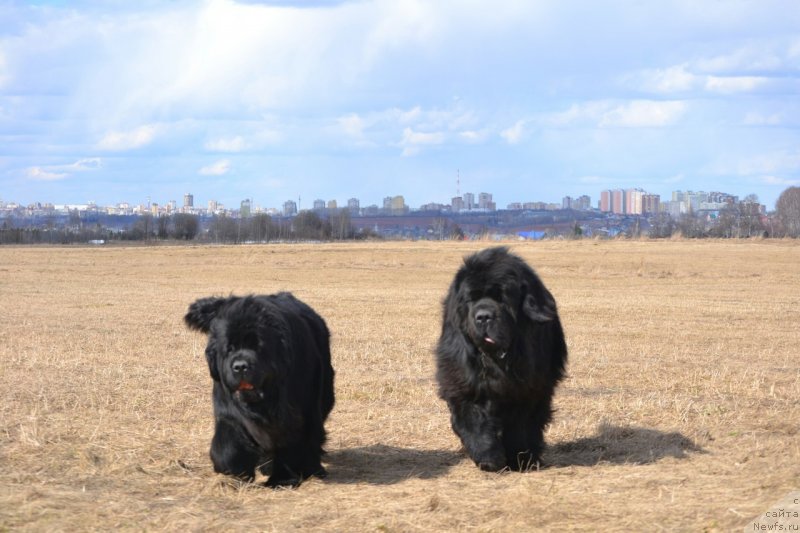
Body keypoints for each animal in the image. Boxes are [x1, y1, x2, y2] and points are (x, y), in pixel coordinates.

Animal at [184, 290, 334, 486]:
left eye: (258, 347)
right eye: (229, 349)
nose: (240, 366)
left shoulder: (299, 413)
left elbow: (293, 444)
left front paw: (283, 478)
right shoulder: (229, 411)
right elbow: (227, 444)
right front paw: (233, 471)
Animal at [438, 245, 568, 470]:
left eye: (502, 298)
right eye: (471, 299)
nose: (483, 316)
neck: (497, 359)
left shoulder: (529, 389)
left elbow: (521, 426)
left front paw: (521, 458)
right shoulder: (462, 382)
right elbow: (473, 419)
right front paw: (489, 457)